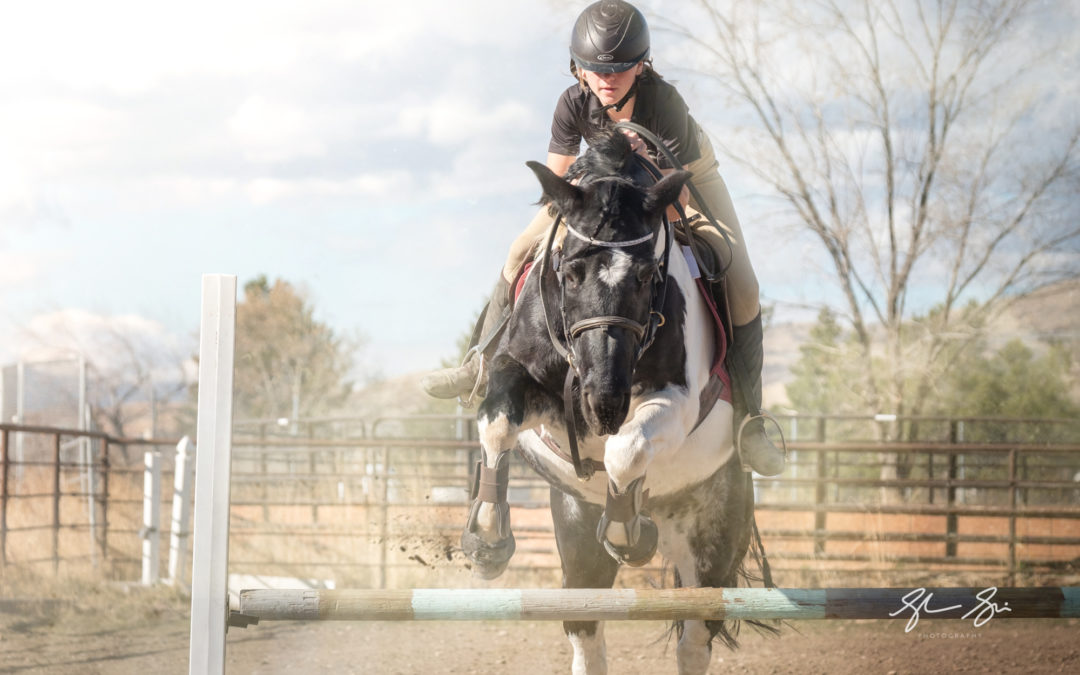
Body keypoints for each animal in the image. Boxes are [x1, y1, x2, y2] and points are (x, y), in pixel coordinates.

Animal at [464, 131, 760, 673]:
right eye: (569, 271)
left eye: (646, 276)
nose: (603, 404)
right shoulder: (521, 377)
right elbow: (497, 422)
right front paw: (486, 541)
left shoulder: (677, 401)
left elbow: (627, 450)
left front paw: (629, 534)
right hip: (576, 531)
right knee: (586, 628)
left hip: (713, 537)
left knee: (695, 637)